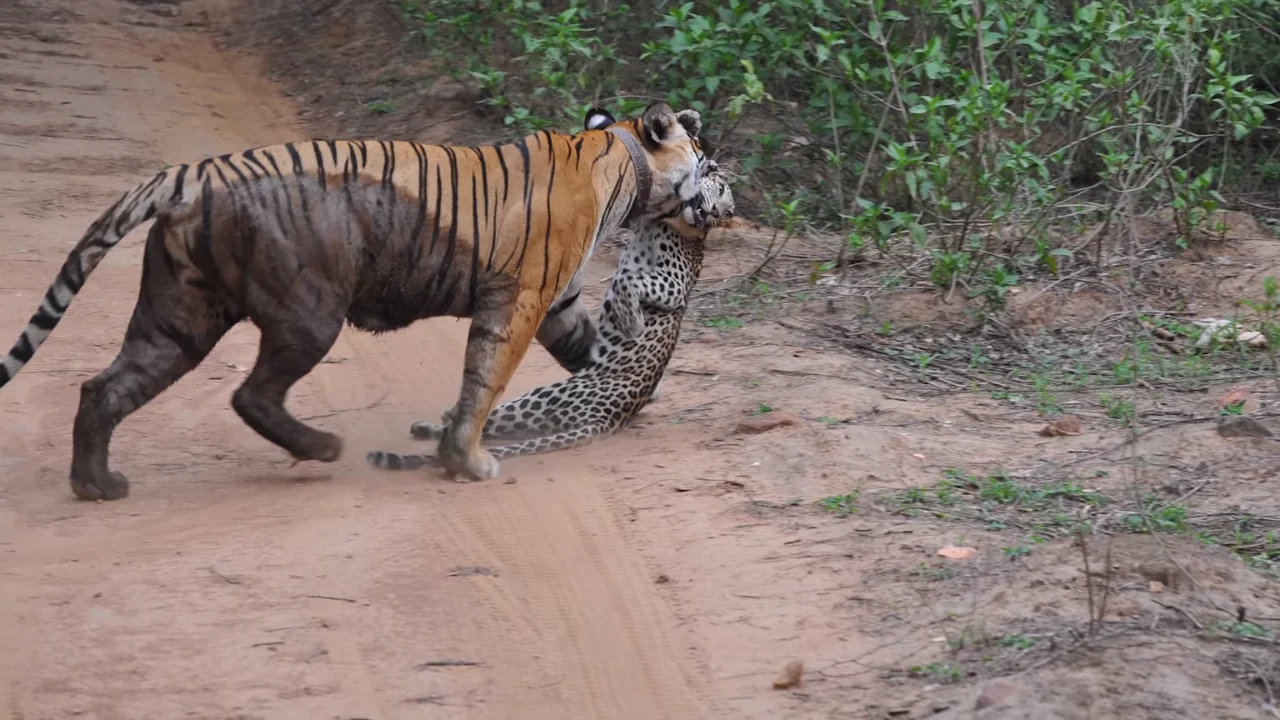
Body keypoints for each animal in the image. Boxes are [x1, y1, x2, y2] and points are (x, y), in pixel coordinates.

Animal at [366, 159, 737, 466]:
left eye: (724, 210)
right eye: (720, 194)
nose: (712, 214)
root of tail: (610, 418)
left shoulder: (673, 283)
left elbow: (630, 280)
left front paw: (629, 320)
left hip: (541, 398)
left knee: (487, 421)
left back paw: (439, 426)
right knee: (488, 425)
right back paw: (431, 426)